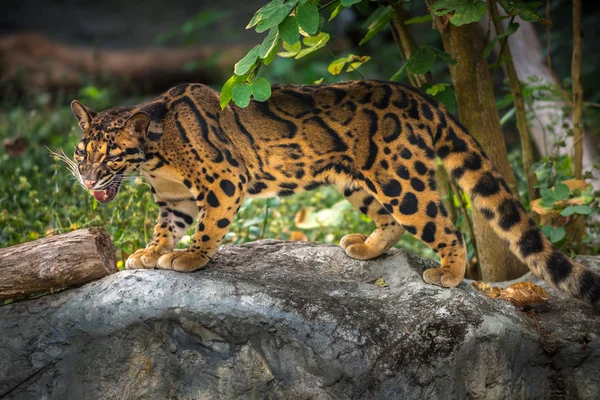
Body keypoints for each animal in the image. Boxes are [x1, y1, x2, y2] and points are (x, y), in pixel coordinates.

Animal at [68, 82, 596, 306]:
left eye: (110, 157)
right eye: (81, 152)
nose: (89, 181)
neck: (154, 158)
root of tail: (419, 96)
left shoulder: (223, 180)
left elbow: (207, 226)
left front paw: (190, 257)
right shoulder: (173, 197)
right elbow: (166, 226)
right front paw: (150, 251)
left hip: (402, 180)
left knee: (444, 223)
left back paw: (448, 272)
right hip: (355, 178)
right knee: (390, 222)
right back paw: (367, 247)